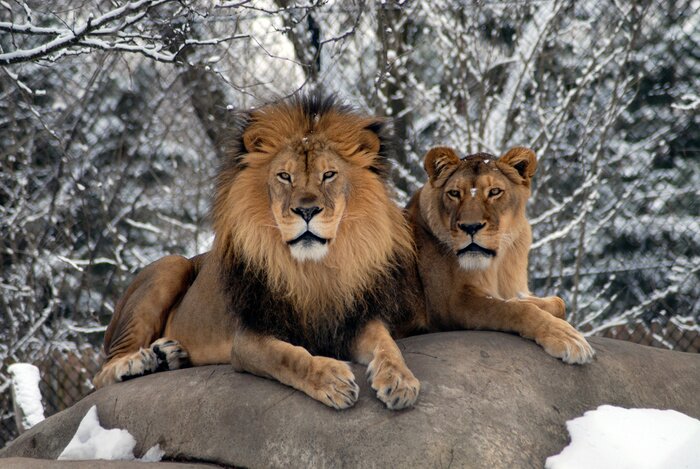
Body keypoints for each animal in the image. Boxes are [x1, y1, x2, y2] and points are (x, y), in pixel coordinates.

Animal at [93, 94, 422, 410]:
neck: (314, 269)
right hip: (170, 266)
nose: (306, 211)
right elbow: (288, 357)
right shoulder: (249, 339)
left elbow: (387, 345)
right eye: (284, 176)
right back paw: (141, 361)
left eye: (329, 175)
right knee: (102, 374)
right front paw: (331, 380)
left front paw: (400, 380)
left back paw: (167, 355)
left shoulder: (354, 320)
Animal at [405, 146, 595, 364]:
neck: (498, 263)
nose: (471, 227)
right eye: (454, 193)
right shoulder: (449, 304)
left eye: (494, 192)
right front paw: (566, 337)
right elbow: (512, 309)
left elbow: (556, 301)